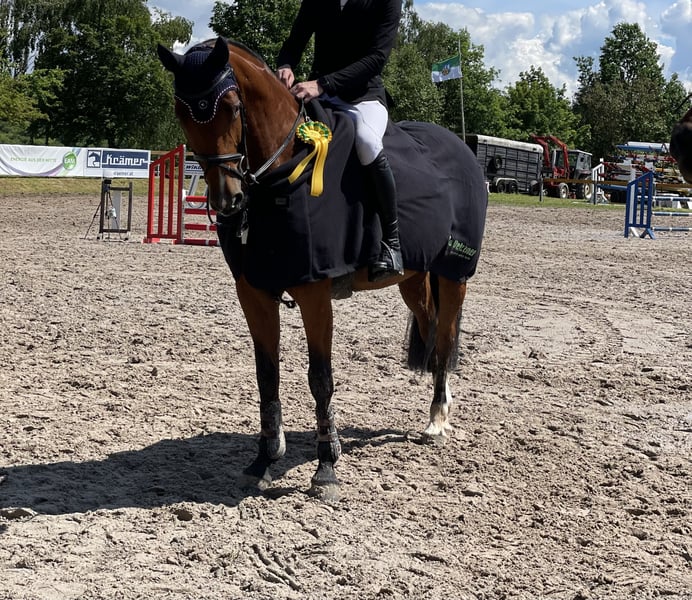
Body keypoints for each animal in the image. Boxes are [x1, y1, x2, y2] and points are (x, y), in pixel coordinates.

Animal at [157, 37, 487, 502]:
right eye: (182, 112)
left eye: (234, 108)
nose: (227, 201)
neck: (282, 171)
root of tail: (460, 148)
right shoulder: (253, 290)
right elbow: (266, 374)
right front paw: (264, 460)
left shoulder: (315, 293)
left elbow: (320, 377)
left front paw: (326, 467)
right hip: (413, 278)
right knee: (430, 324)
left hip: (454, 272)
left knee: (444, 338)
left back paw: (438, 420)